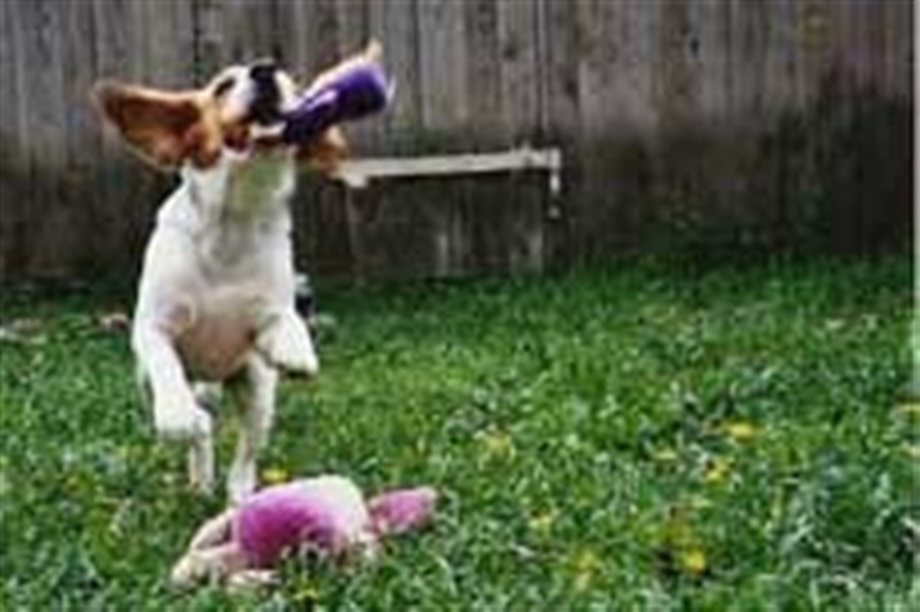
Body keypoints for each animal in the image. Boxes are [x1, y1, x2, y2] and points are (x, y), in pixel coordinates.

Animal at [92, 46, 373, 503]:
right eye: (223, 85)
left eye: (290, 82)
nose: (265, 70)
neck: (234, 219)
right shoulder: (153, 329)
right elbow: (165, 368)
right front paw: (177, 415)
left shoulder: (268, 314)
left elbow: (285, 318)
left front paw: (298, 349)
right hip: (169, 384)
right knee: (201, 427)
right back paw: (198, 457)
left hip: (257, 390)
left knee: (247, 451)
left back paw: (239, 495)